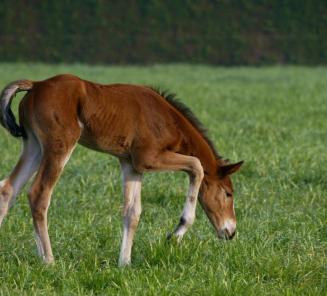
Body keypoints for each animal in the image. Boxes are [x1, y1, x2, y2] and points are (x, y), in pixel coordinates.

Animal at [0, 74, 242, 266]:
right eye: (228, 193)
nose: (231, 232)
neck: (166, 118)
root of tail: (36, 84)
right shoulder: (148, 159)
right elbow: (197, 166)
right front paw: (176, 234)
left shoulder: (131, 165)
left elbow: (132, 212)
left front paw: (124, 263)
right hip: (59, 146)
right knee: (39, 194)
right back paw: (49, 261)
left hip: (33, 146)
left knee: (8, 189)